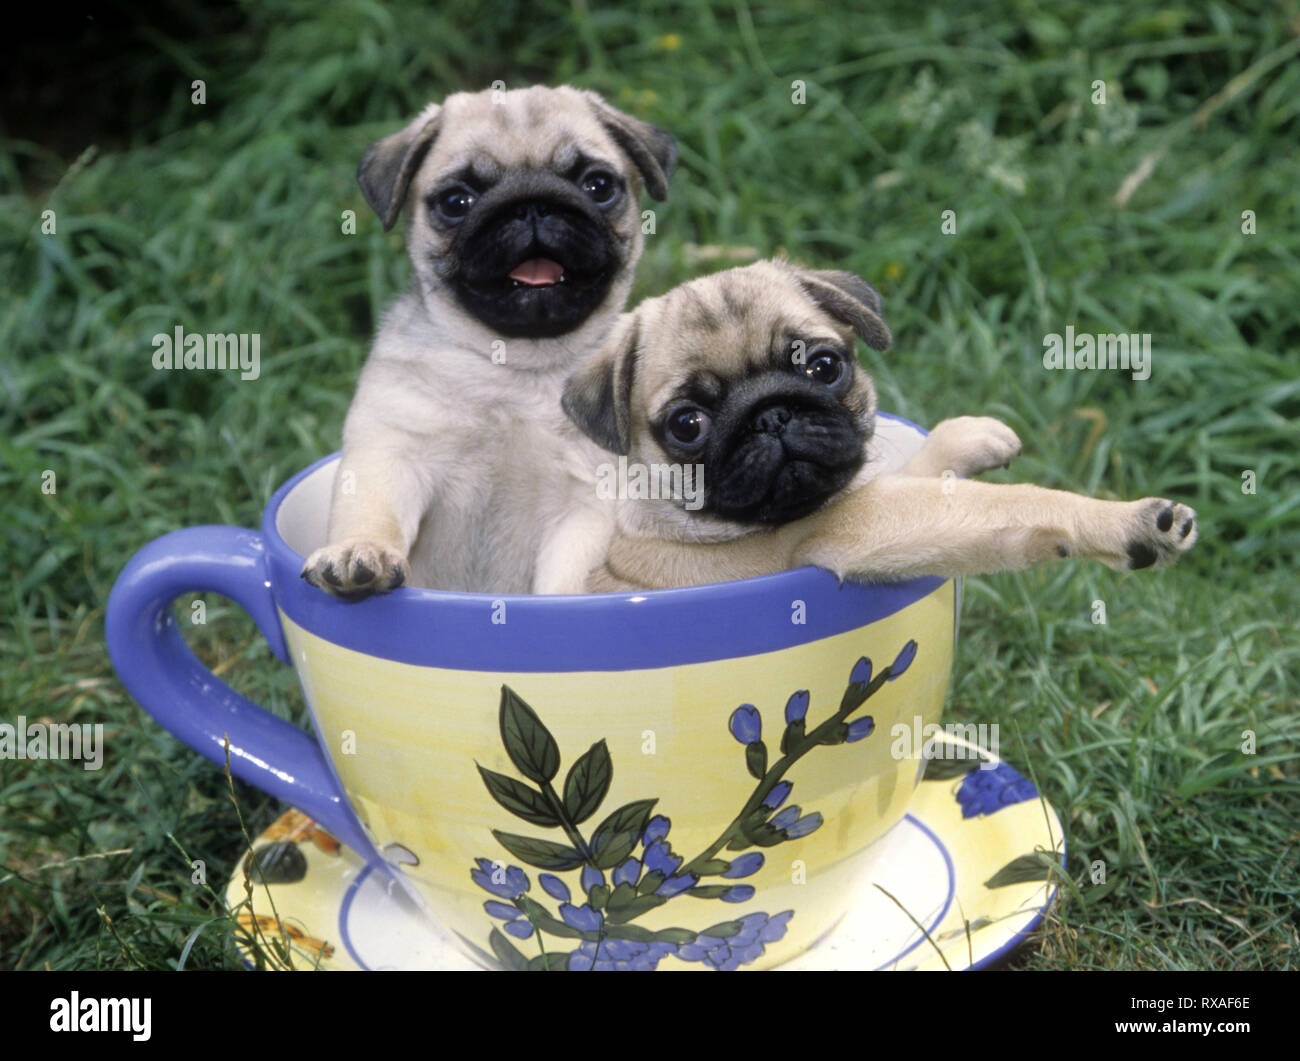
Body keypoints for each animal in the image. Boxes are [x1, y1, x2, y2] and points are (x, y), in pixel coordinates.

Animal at [297, 85, 676, 598]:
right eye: (457, 201)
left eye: (598, 186)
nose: (532, 205)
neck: (513, 364)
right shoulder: (393, 456)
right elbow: (373, 514)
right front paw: (361, 553)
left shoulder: (589, 507)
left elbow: (568, 578)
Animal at [559, 257, 1196, 587]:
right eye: (687, 425)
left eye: (823, 366)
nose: (771, 414)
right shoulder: (863, 522)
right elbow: (1011, 505)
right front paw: (1124, 521)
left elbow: (916, 467)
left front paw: (969, 436)